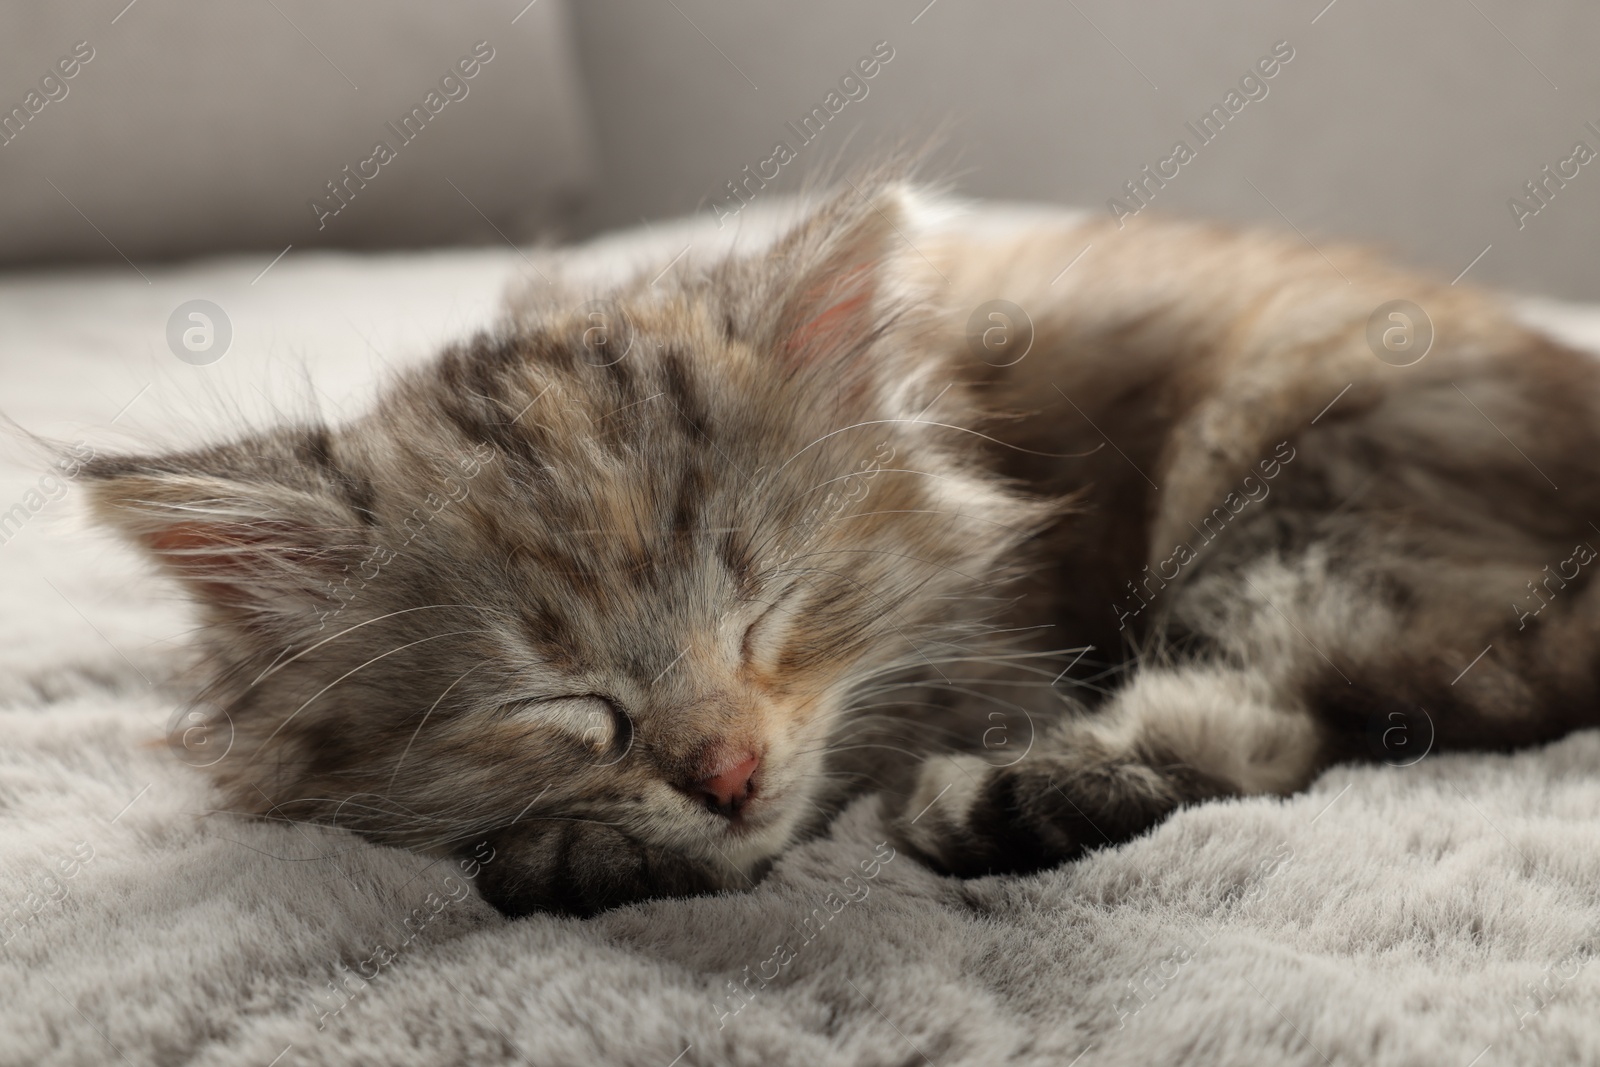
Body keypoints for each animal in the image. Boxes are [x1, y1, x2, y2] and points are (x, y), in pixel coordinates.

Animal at [81, 175, 1600, 921]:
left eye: (769, 616)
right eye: (569, 703)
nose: (728, 769)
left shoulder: (985, 649)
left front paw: (578, 855)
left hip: (1284, 461)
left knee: (1291, 716)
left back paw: (996, 801)